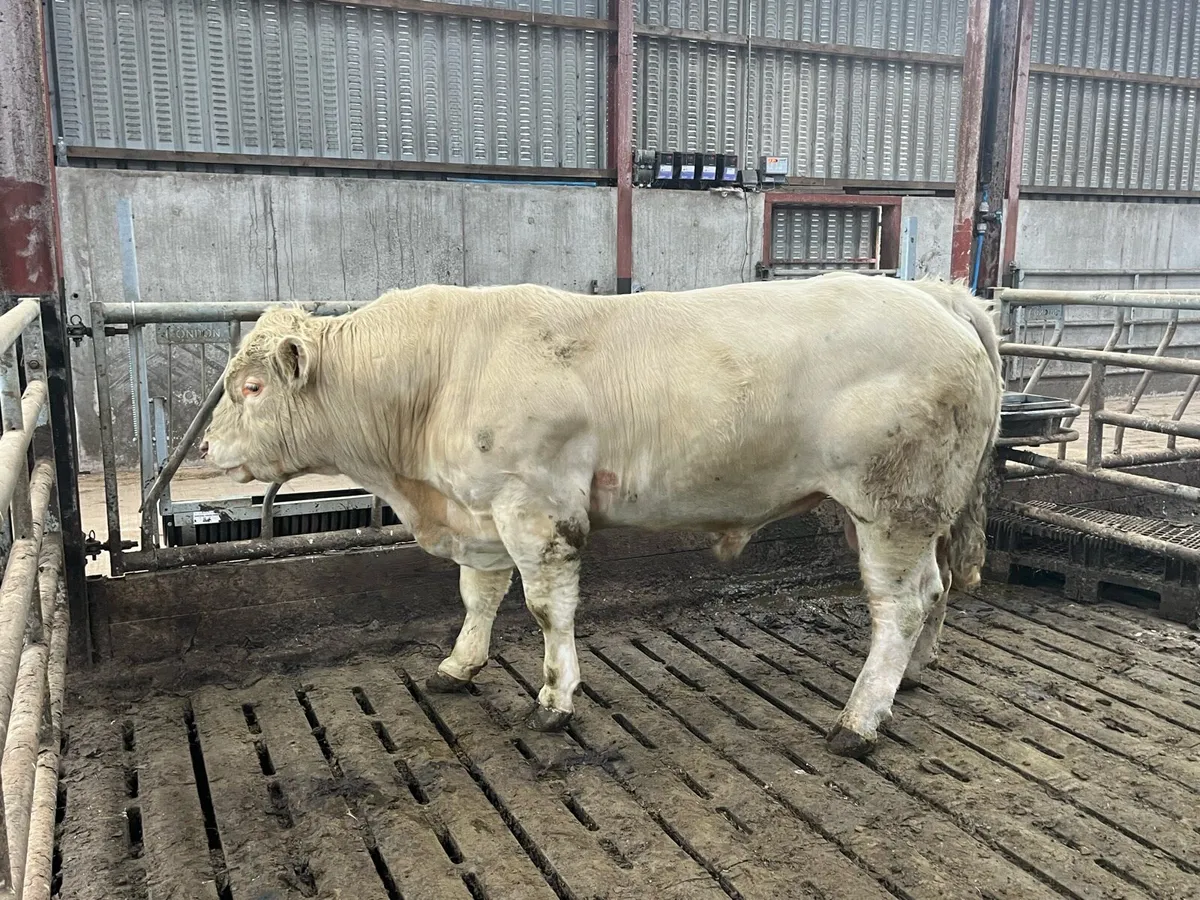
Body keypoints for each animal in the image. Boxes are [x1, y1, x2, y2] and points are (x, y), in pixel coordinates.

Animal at [201, 272, 1002, 757]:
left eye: (250, 387)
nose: (205, 445)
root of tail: (936, 296)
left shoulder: (537, 508)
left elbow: (546, 609)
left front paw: (555, 699)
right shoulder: (480, 512)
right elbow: (477, 596)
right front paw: (459, 665)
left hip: (892, 504)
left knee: (899, 605)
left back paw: (859, 721)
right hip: (909, 510)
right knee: (931, 592)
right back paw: (910, 680)